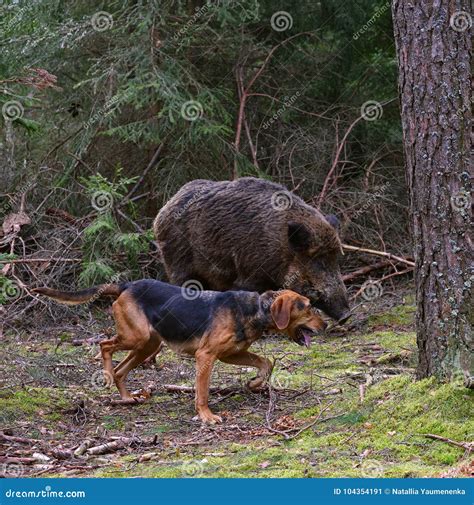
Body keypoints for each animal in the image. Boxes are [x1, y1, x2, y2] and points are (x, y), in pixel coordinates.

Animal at [33, 278, 328, 424]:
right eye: (308, 307)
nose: (327, 324)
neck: (256, 309)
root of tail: (127, 285)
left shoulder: (230, 354)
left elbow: (265, 362)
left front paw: (254, 383)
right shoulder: (206, 356)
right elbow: (202, 393)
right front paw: (207, 417)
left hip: (147, 345)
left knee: (121, 370)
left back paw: (126, 397)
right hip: (136, 337)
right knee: (105, 346)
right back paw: (105, 375)